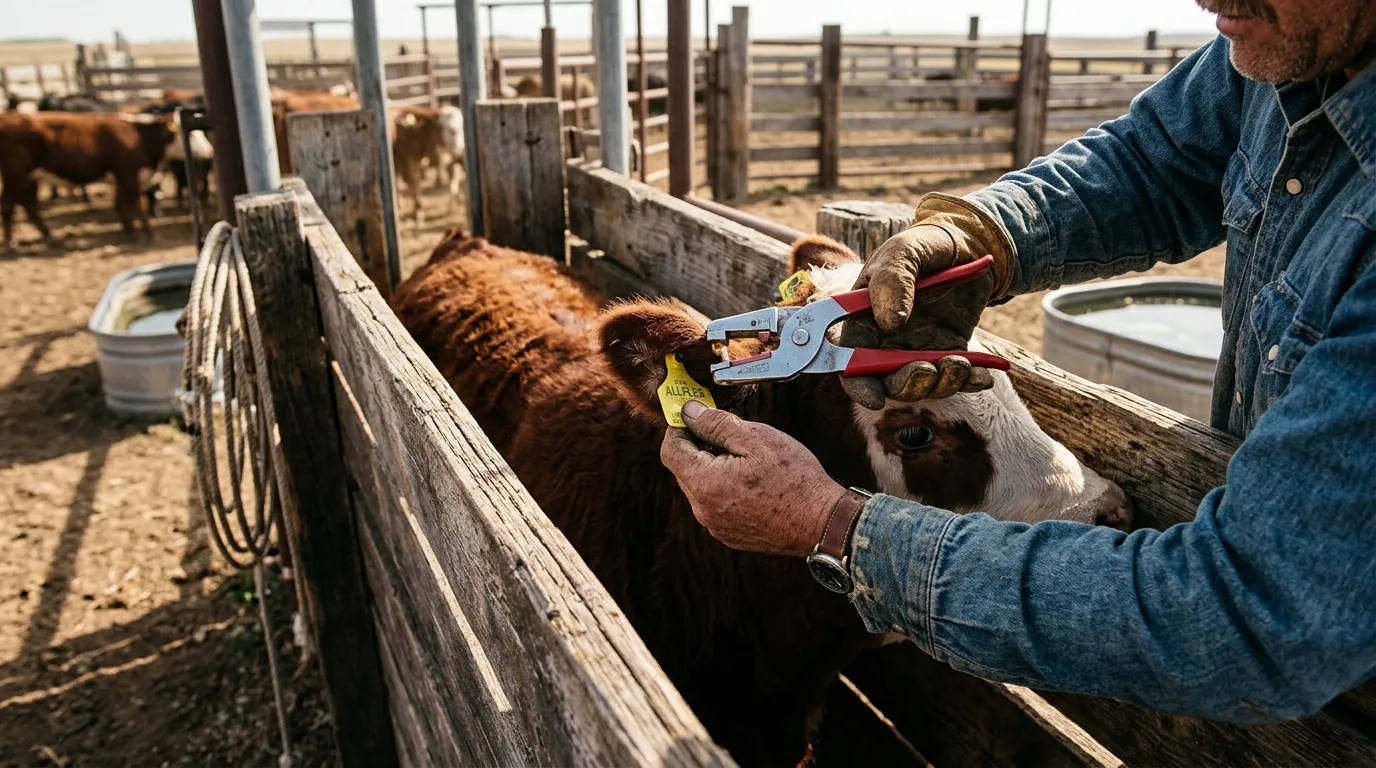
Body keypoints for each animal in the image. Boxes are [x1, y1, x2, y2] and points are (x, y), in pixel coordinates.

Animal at [0, 112, 177, 248]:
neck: (139, 135)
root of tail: (7, 117)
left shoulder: (123, 179)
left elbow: (125, 205)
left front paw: (130, 232)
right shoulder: (129, 174)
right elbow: (139, 205)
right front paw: (149, 235)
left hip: (30, 178)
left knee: (29, 206)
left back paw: (50, 236)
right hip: (14, 175)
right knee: (8, 205)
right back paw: (11, 242)